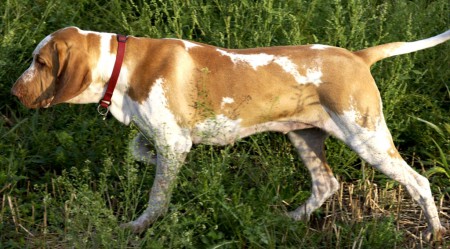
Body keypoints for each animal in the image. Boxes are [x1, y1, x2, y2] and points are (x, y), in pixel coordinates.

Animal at [11, 26, 450, 239]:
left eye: (40, 62)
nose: (15, 91)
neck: (124, 63)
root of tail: (357, 56)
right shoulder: (164, 138)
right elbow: (142, 152)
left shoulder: (174, 141)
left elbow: (156, 198)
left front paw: (137, 228)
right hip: (304, 137)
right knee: (327, 184)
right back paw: (288, 220)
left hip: (367, 138)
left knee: (419, 182)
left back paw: (434, 232)